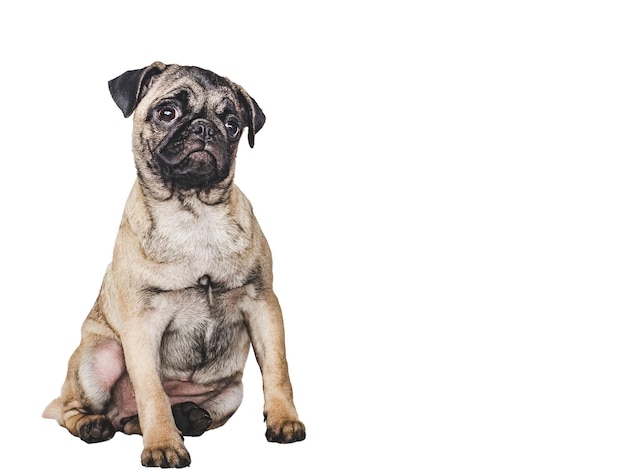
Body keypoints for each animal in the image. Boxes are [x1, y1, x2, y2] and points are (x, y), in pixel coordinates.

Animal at [42, 62, 304, 466]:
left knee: (145, 419)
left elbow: (277, 370)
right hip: (98, 358)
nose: (205, 127)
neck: (192, 212)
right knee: (71, 409)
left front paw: (284, 420)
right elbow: (152, 392)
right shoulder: (142, 324)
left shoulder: (263, 305)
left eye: (232, 125)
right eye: (168, 113)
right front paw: (163, 445)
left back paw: (189, 416)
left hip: (232, 392)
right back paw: (94, 425)